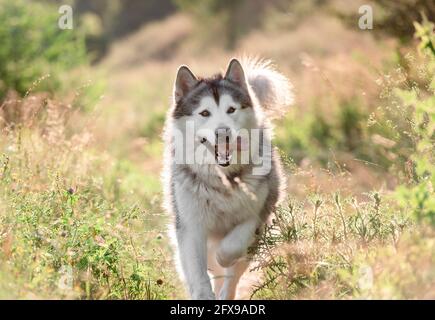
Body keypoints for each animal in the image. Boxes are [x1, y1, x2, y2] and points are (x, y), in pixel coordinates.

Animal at [163, 57, 292, 300]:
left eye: (231, 109)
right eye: (205, 113)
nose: (223, 133)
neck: (223, 179)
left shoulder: (257, 214)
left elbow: (232, 247)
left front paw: (223, 257)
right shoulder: (191, 225)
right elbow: (198, 271)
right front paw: (203, 294)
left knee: (232, 275)